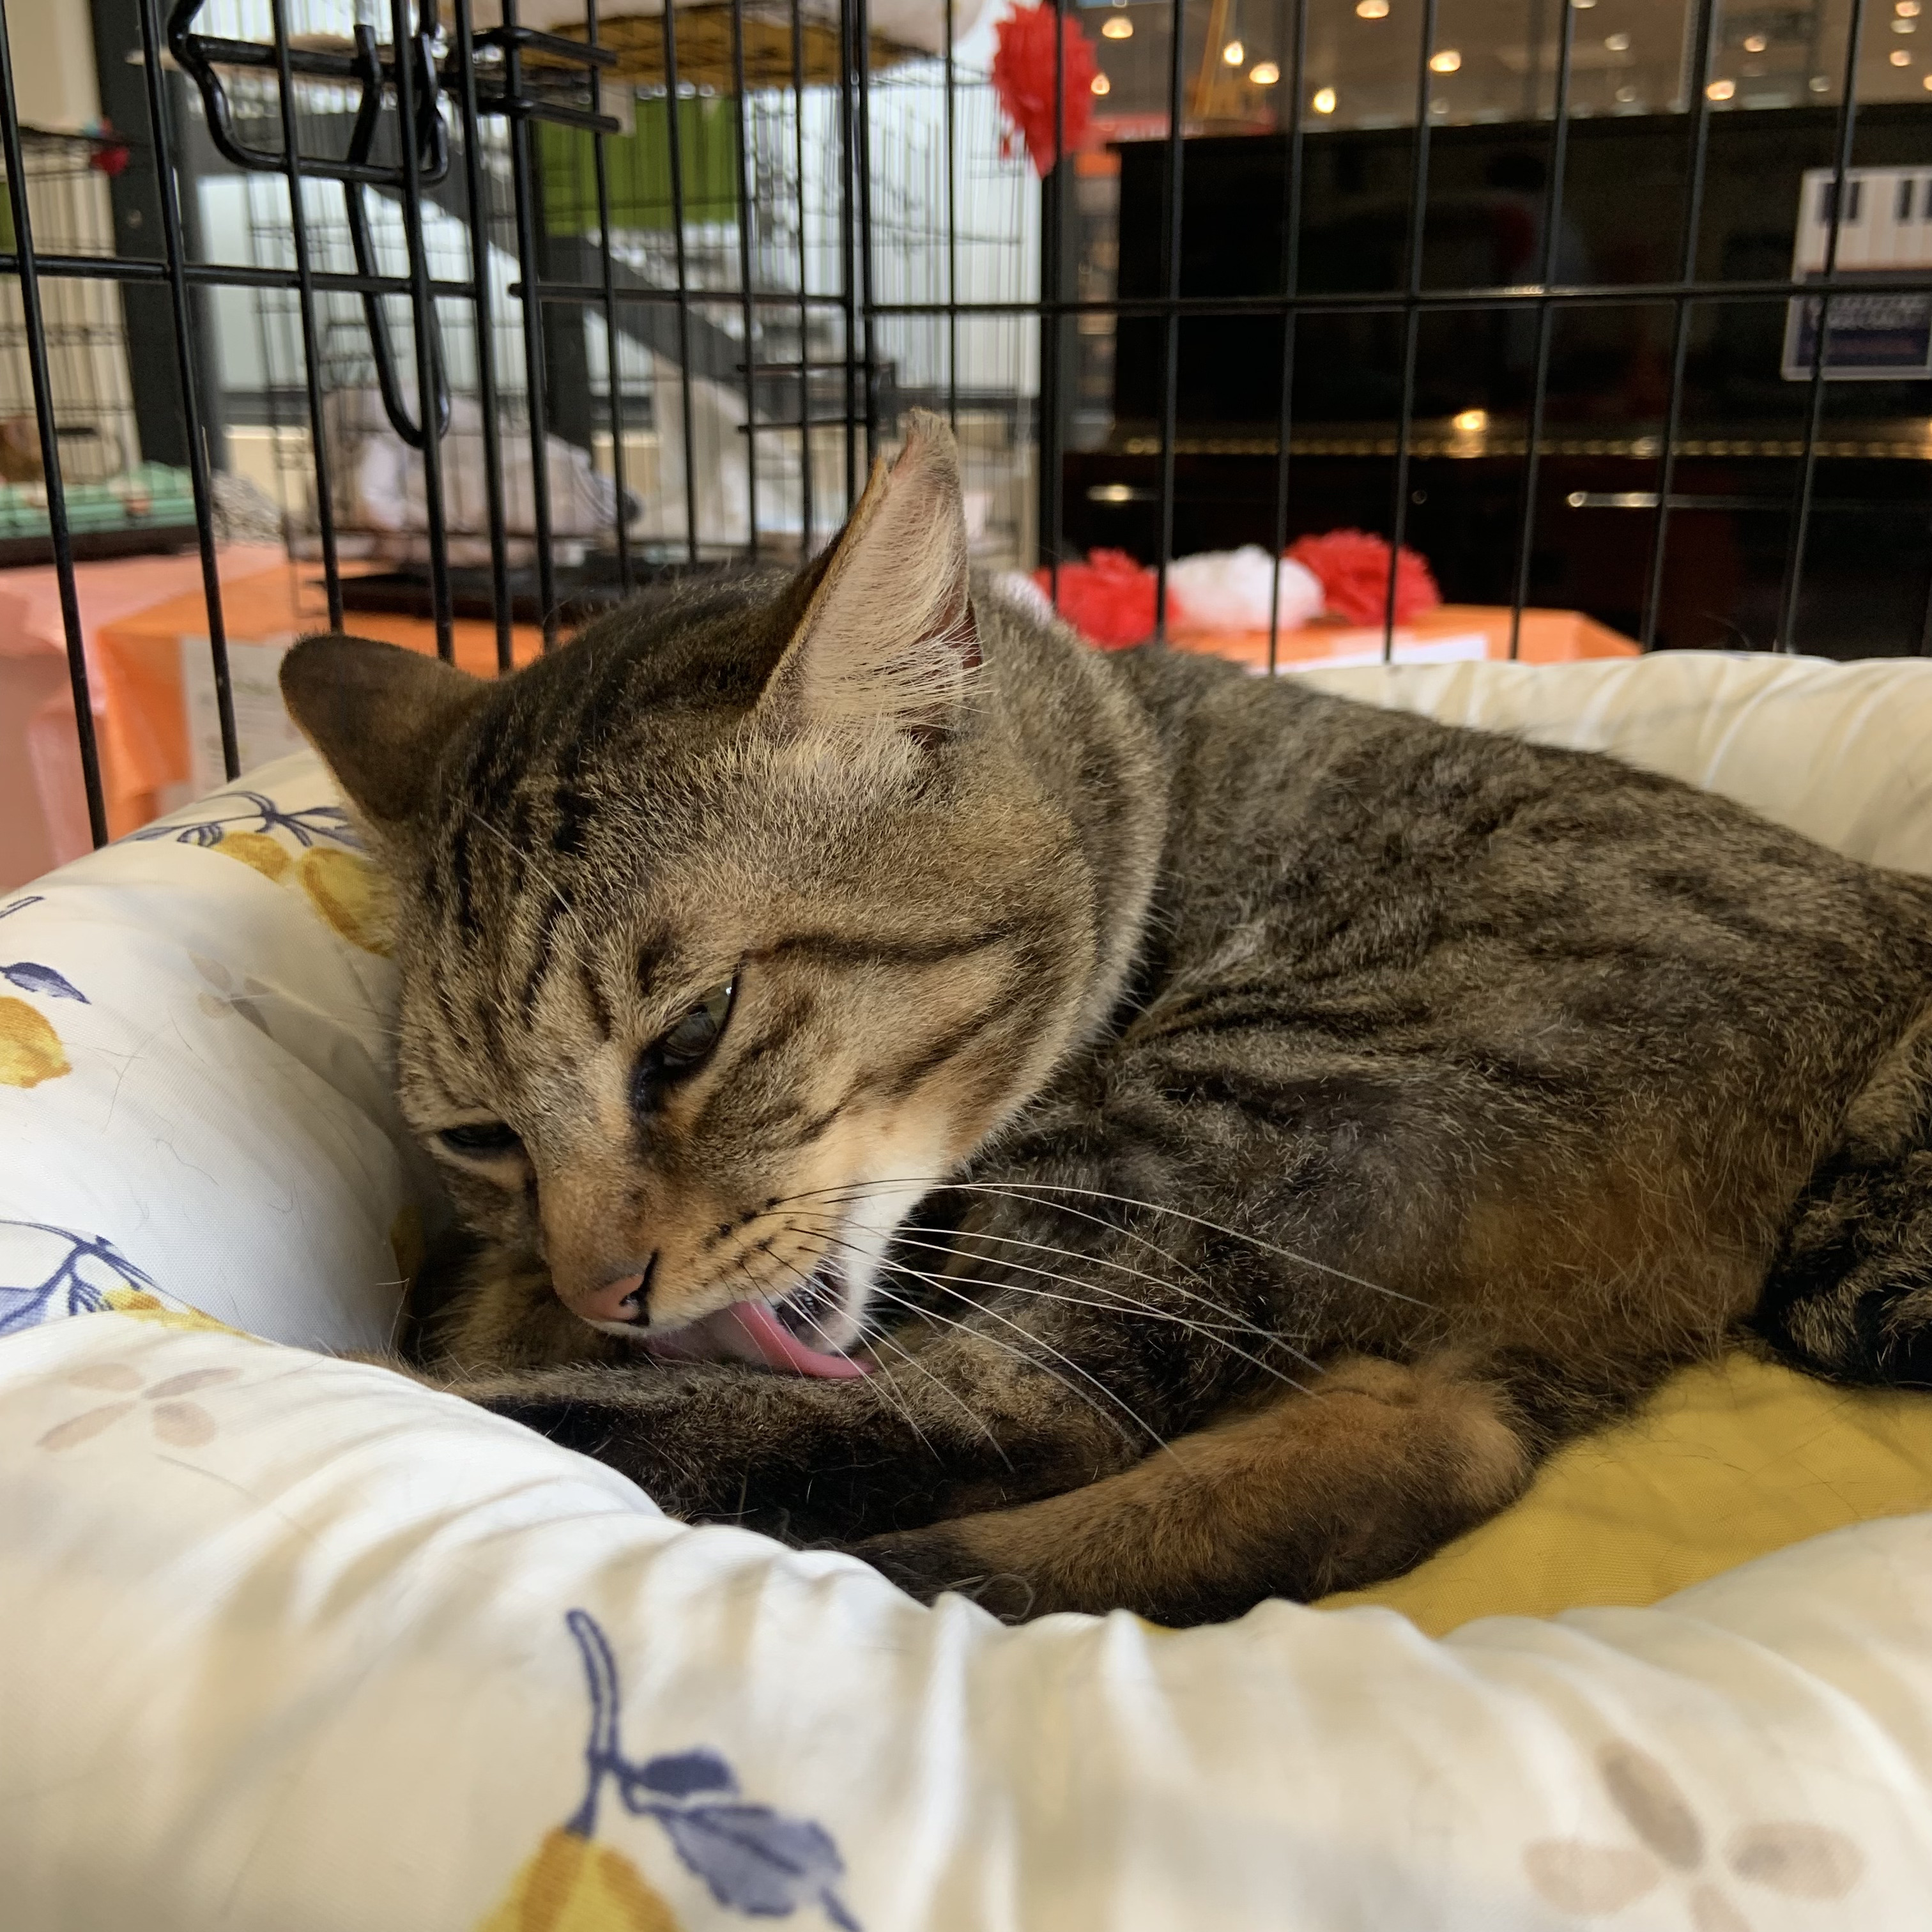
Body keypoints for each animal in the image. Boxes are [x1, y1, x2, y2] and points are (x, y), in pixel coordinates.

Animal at [282, 413, 1932, 1627]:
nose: (605, 1287)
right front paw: (508, 1294)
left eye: (692, 1036)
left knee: (1006, 1419)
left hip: (1230, 1093)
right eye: (478, 1133)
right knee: (1430, 1449)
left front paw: (495, 1339)